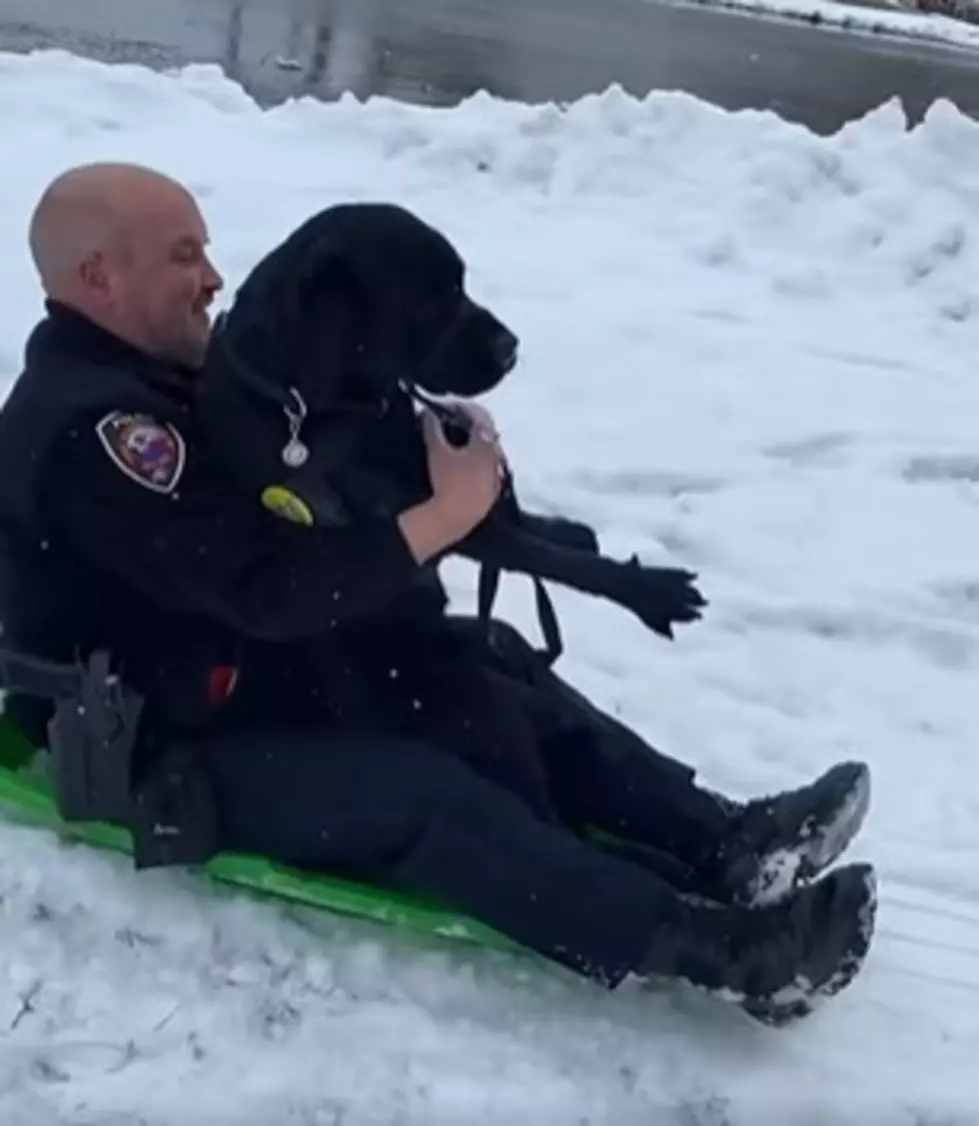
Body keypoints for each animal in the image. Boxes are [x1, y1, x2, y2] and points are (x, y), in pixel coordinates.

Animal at [197, 199, 702, 657]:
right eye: (429, 299)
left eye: (460, 284)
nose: (510, 347)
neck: (313, 407)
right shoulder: (422, 515)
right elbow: (540, 554)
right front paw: (650, 591)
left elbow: (516, 522)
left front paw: (566, 532)